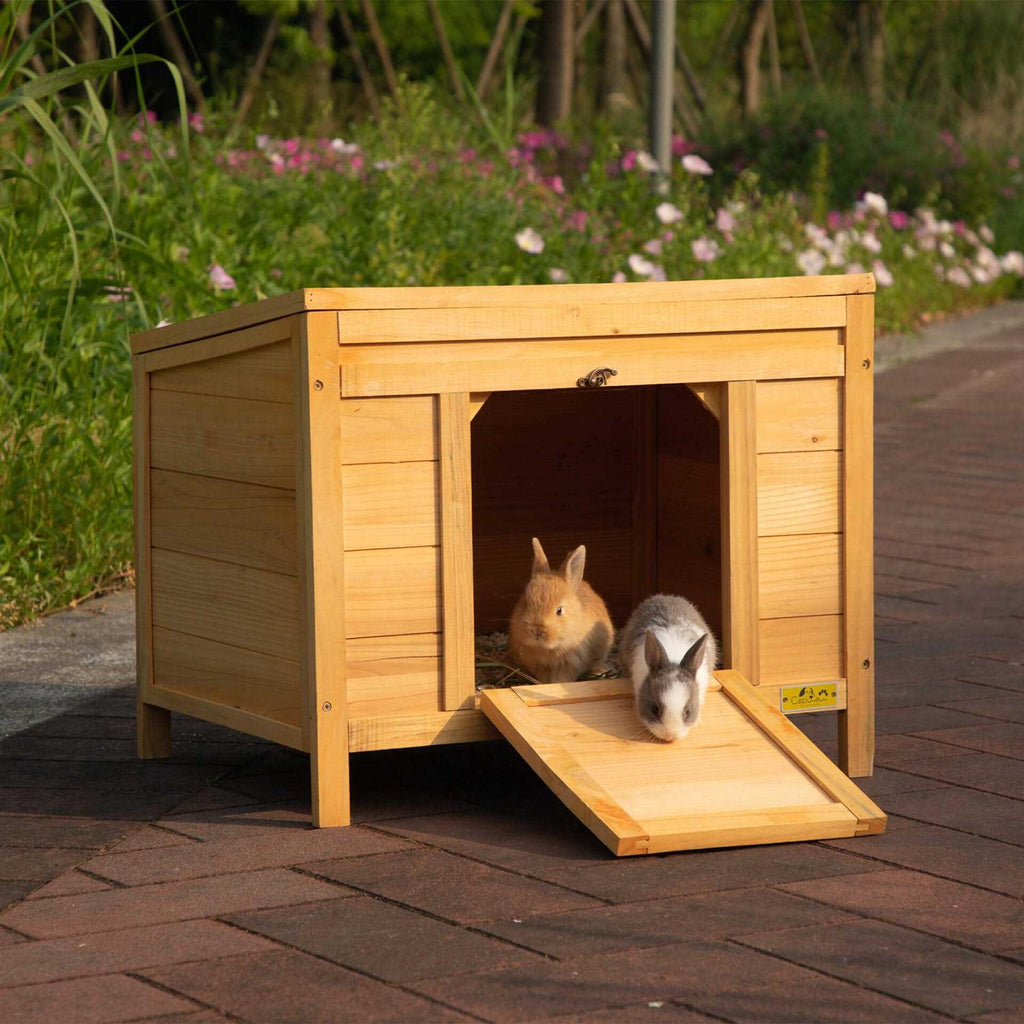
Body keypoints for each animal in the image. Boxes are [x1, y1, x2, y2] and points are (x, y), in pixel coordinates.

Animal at [508, 537, 614, 684]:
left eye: (559, 610)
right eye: (525, 602)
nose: (537, 630)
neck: (547, 648)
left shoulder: (570, 663)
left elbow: (562, 678)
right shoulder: (538, 665)